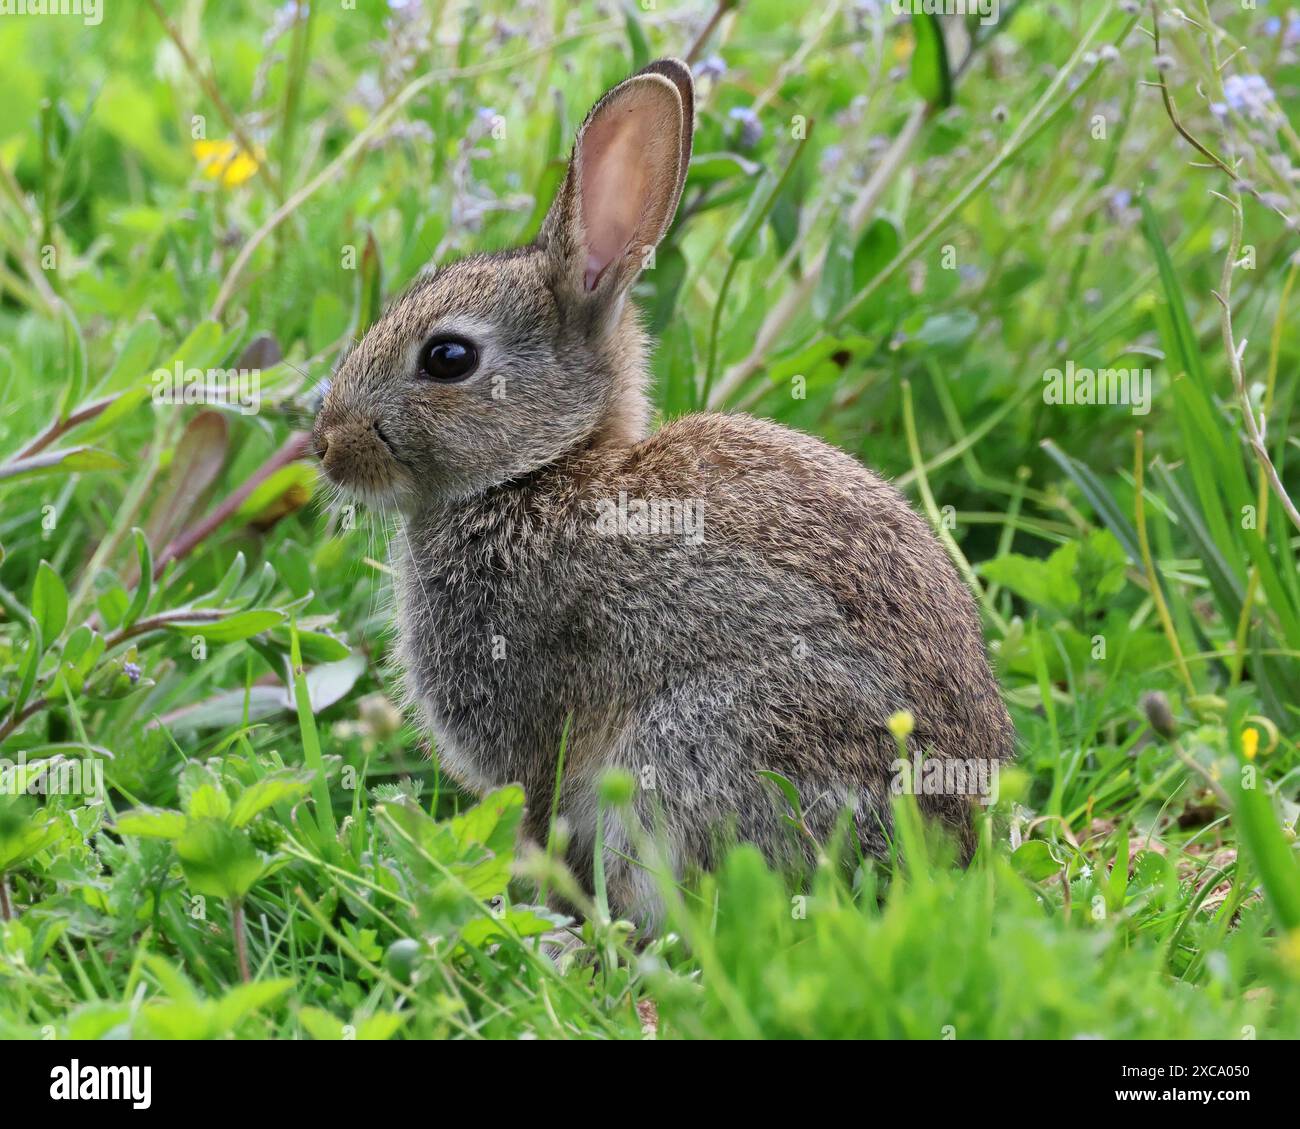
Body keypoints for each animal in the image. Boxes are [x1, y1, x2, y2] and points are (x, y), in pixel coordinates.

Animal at [313, 57, 1015, 927]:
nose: (325, 444)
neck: (543, 469)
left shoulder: (535, 726)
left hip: (702, 746)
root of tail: (946, 840)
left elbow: (538, 817)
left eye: (447, 357)